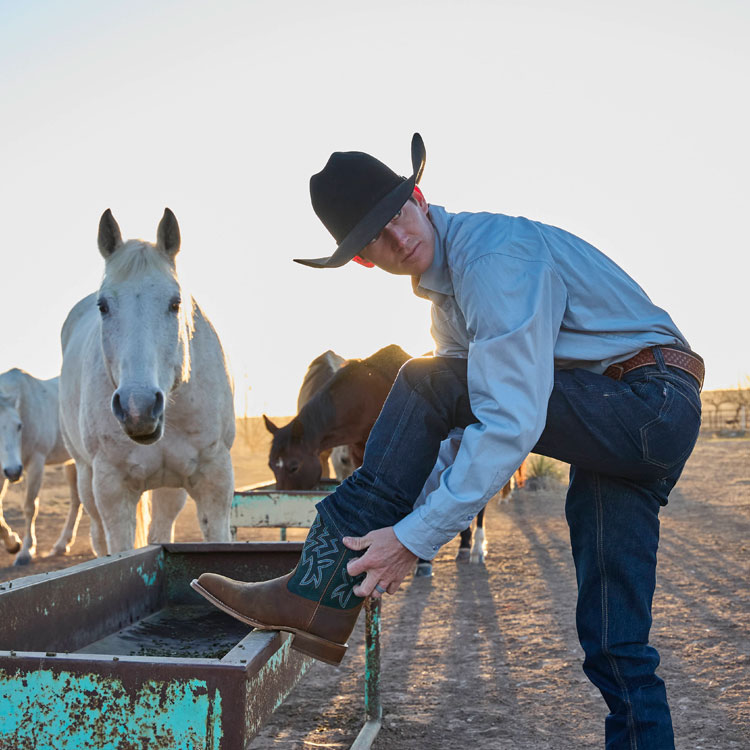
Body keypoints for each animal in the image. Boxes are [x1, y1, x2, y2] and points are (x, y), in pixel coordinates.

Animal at [0, 368, 80, 568]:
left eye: (19, 426)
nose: (14, 472)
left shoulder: (36, 463)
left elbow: (30, 506)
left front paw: (25, 551)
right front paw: (13, 544)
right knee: (77, 500)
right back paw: (61, 544)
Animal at [59, 209, 235, 556]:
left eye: (175, 303)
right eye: (103, 306)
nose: (137, 407)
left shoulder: (215, 479)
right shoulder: (112, 489)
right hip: (86, 478)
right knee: (99, 537)